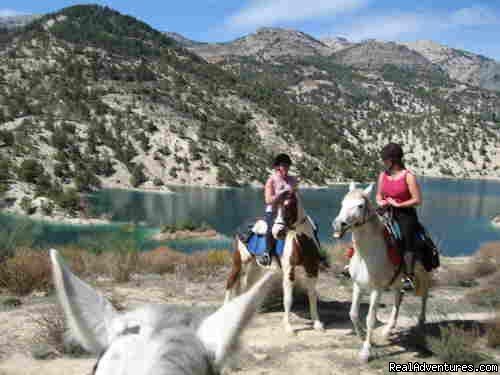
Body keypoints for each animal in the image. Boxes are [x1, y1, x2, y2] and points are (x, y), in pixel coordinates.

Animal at [225, 192, 326, 336]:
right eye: (274, 208)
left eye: (288, 206)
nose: (278, 232)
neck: (301, 241)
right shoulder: (289, 270)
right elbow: (288, 298)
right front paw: (288, 327)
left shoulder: (312, 267)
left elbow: (312, 295)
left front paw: (317, 323)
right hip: (239, 262)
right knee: (230, 282)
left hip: (255, 265)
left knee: (248, 285)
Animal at [330, 184, 432, 362]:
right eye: (343, 202)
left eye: (360, 205)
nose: (338, 225)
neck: (366, 254)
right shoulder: (358, 286)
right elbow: (353, 314)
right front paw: (362, 336)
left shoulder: (376, 290)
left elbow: (370, 319)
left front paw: (366, 351)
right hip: (397, 282)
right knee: (399, 298)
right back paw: (388, 330)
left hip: (423, 275)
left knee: (424, 296)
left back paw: (421, 323)